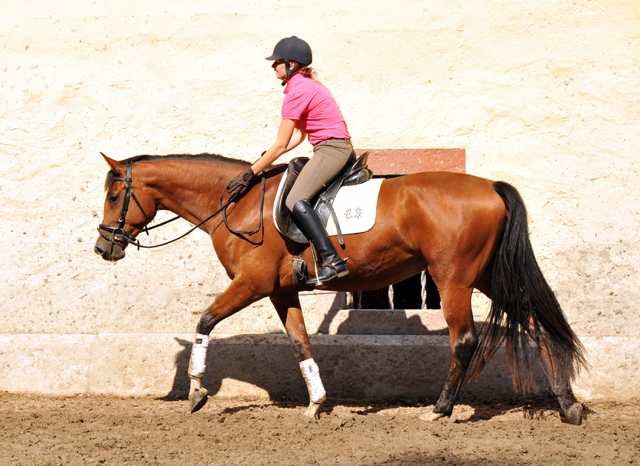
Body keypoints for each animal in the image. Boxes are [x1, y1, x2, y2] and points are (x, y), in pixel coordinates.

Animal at [95, 151, 592, 424]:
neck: (236, 206)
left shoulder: (252, 283)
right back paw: (568, 406)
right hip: (486, 275)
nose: (104, 247)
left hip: (452, 277)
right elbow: (300, 343)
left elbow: (205, 320)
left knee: (464, 339)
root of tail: (489, 186)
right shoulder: (280, 290)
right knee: (536, 324)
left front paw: (197, 391)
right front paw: (316, 404)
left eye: (115, 196)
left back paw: (441, 409)